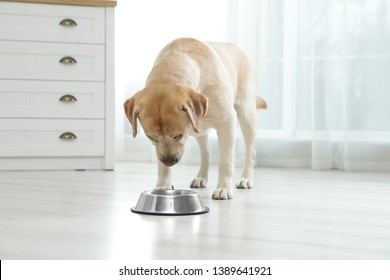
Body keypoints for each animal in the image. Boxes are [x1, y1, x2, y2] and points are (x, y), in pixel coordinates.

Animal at [123, 37, 266, 199]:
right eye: (151, 137)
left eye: (177, 136)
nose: (169, 161)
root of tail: (233, 46)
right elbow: (161, 165)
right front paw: (163, 186)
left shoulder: (227, 121)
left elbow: (226, 161)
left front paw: (223, 188)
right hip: (200, 129)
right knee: (205, 152)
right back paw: (201, 177)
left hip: (246, 112)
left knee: (251, 150)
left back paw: (246, 178)